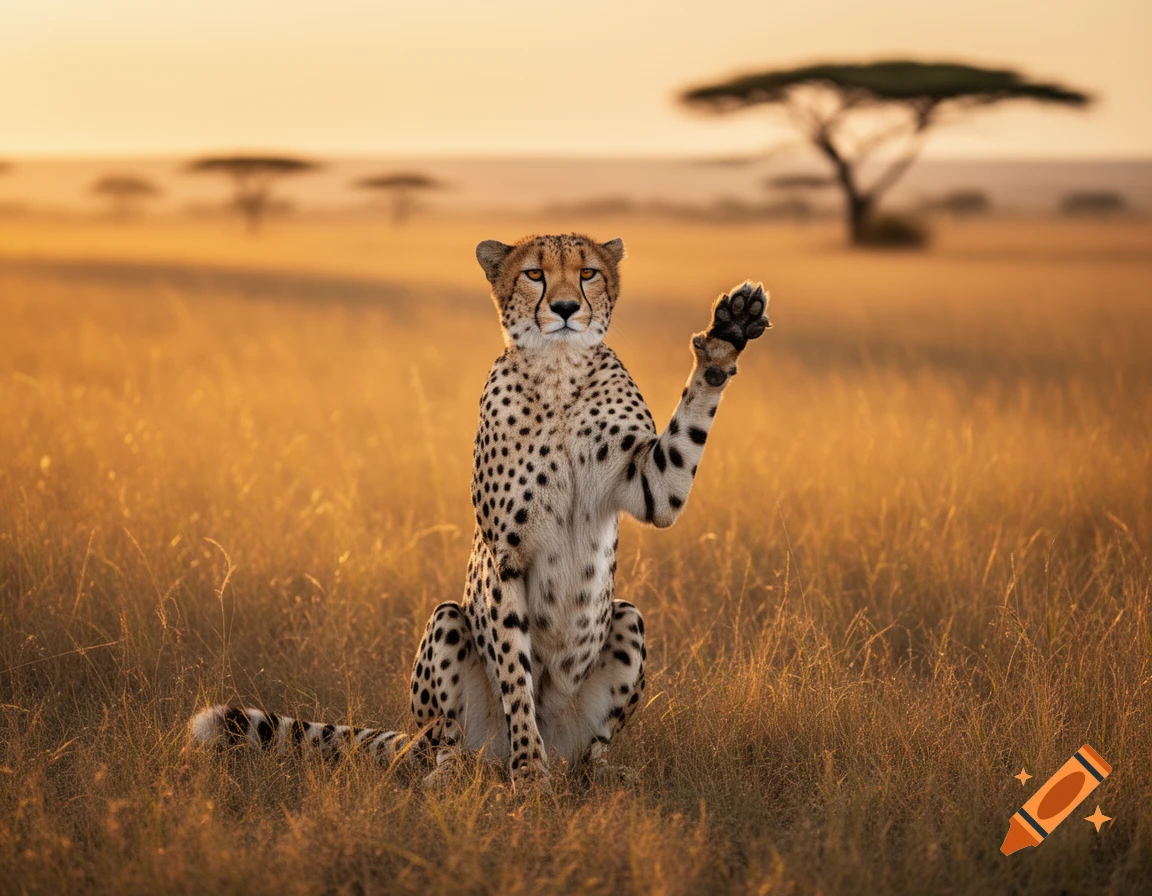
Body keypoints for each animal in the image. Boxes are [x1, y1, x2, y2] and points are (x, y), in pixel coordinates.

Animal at [190, 233, 770, 791]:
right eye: (534, 273)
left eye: (588, 272)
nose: (564, 308)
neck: (559, 368)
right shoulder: (505, 559)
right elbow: (515, 675)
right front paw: (529, 774)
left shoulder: (654, 486)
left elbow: (686, 432)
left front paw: (727, 333)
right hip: (448, 631)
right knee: (446, 739)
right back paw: (457, 772)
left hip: (626, 620)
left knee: (593, 746)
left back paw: (602, 773)